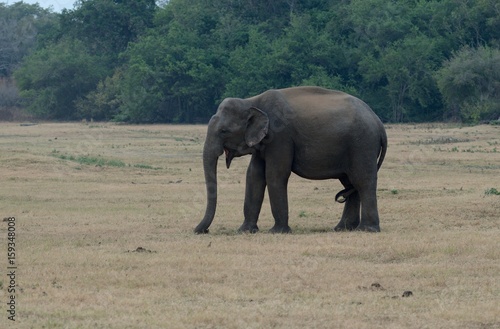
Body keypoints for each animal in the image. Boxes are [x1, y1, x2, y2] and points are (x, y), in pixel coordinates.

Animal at [194, 84, 386, 233]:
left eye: (223, 131)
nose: (201, 231)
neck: (251, 101)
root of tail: (379, 122)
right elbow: (254, 176)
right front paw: (245, 231)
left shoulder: (280, 137)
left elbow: (275, 174)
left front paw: (277, 231)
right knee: (350, 183)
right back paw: (342, 228)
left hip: (362, 144)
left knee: (362, 181)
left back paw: (367, 229)